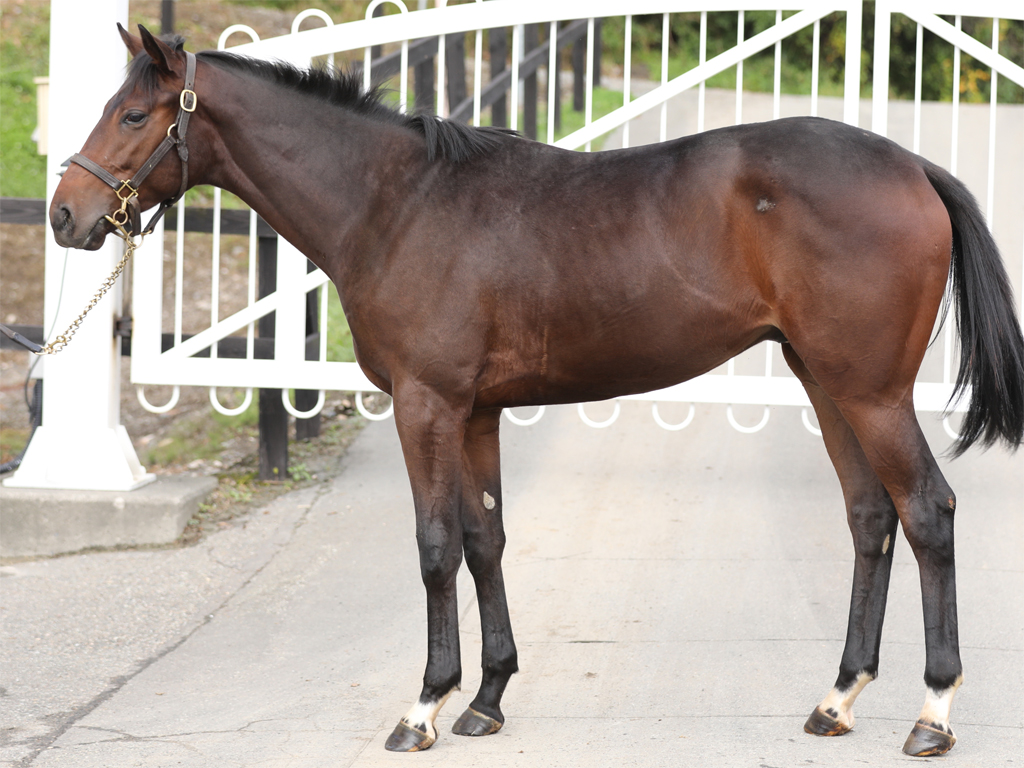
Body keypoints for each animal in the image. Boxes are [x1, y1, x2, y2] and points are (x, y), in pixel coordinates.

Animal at [51, 25, 1024, 757]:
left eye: (133, 114)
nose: (64, 214)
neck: (398, 204)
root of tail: (913, 167)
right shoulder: (475, 411)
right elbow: (486, 540)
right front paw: (486, 698)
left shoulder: (426, 406)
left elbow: (435, 545)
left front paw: (424, 706)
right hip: (827, 385)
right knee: (870, 517)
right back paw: (837, 699)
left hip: (872, 393)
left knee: (927, 511)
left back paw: (932, 714)